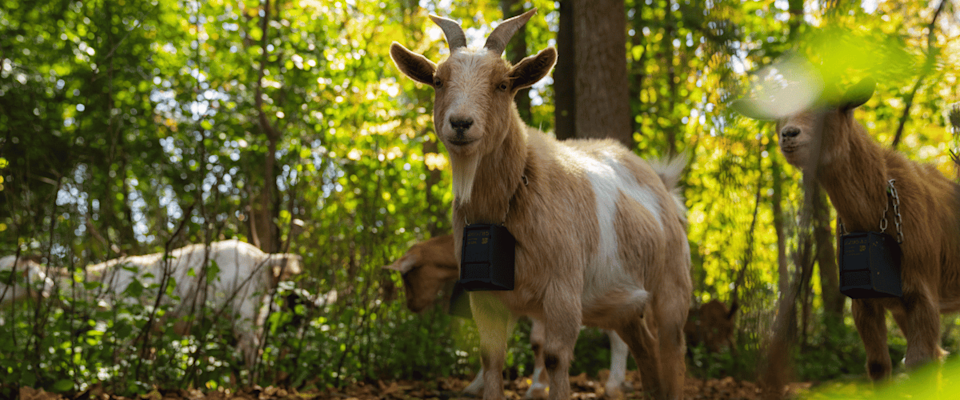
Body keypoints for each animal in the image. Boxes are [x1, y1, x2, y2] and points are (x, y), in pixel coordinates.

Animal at [72, 239, 303, 368]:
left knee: (252, 346)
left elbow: (119, 355)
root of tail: (263, 257)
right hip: (257, 308)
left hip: (243, 307)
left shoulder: (128, 322)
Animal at [383, 233, 634, 398]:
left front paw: (537, 388)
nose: (411, 305)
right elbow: (496, 342)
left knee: (617, 334)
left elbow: (538, 341)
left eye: (407, 276)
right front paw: (476, 386)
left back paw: (613, 384)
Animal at [732, 79, 960, 380]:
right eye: (779, 111)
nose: (789, 134)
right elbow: (878, 365)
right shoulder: (864, 300)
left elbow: (918, 362)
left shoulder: (923, 288)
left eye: (831, 105)